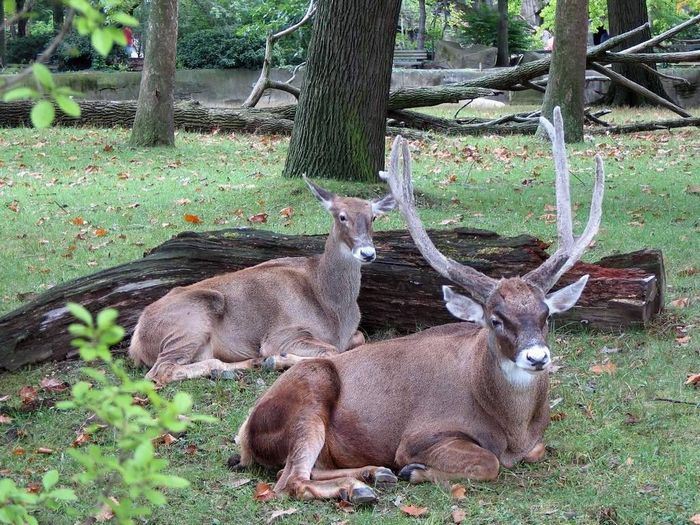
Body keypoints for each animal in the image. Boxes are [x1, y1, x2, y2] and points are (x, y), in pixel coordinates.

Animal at [129, 174, 396, 382]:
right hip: (190, 320)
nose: (368, 253)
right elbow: (333, 352)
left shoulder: (351, 334)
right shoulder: (282, 334)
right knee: (160, 371)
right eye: (341, 216)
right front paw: (278, 359)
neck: (332, 306)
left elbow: (360, 338)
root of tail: (136, 340)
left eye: (373, 217)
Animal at [232, 107, 604, 504]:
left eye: (546, 314)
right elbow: (488, 462)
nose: (537, 357)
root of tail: (245, 435)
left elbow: (538, 450)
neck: (512, 429)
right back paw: (363, 486)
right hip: (310, 392)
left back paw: (373, 475)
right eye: (495, 319)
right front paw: (416, 470)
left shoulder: (534, 443)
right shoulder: (419, 435)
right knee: (289, 481)